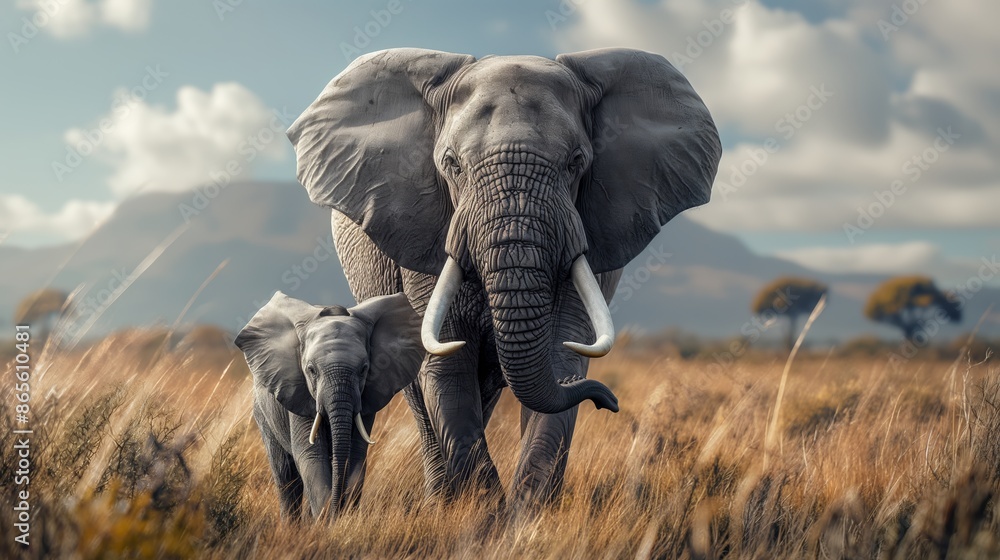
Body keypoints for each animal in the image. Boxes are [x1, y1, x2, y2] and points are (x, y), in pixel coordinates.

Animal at [234, 291, 424, 521]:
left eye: (364, 369)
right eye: (311, 370)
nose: (336, 510)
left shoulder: (367, 396)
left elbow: (356, 454)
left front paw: (341, 519)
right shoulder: (298, 392)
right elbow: (311, 455)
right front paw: (327, 520)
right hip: (262, 412)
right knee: (285, 474)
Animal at [286, 47, 721, 509]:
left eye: (576, 163)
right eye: (452, 165)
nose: (610, 401)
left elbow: (561, 352)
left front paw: (525, 516)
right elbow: (447, 364)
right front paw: (484, 512)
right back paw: (439, 501)